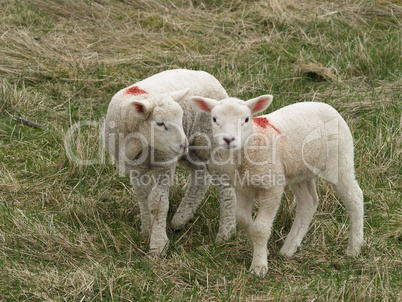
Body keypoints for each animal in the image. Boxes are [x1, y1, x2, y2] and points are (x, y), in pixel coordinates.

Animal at [103, 69, 237, 256]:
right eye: (160, 123)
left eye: (180, 118)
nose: (183, 145)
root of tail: (209, 76)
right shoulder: (136, 167)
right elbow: (143, 196)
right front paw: (147, 230)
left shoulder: (164, 163)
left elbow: (158, 202)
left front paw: (158, 246)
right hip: (188, 152)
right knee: (201, 175)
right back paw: (181, 219)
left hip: (209, 141)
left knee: (225, 186)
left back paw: (226, 233)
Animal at [191, 94, 364, 276]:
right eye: (214, 119)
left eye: (246, 119)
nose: (229, 139)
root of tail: (326, 106)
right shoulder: (242, 188)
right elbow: (244, 220)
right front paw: (261, 250)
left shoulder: (271, 188)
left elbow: (260, 228)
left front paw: (258, 267)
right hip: (299, 171)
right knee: (308, 202)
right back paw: (289, 247)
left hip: (340, 159)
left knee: (354, 198)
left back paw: (354, 248)